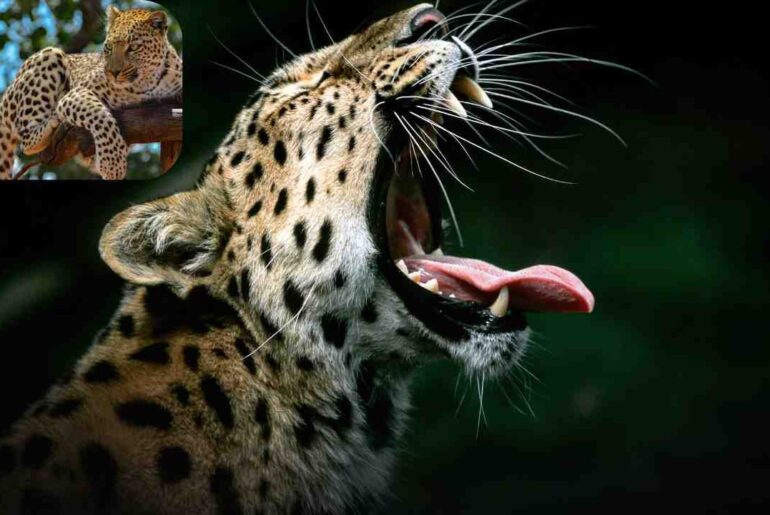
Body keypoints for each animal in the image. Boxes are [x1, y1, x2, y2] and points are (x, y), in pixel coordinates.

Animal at [0, 6, 182, 180]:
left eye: (134, 47)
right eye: (108, 48)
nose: (113, 72)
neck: (146, 83)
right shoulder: (75, 93)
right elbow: (99, 116)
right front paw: (112, 164)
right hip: (50, 55)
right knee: (26, 139)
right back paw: (52, 122)